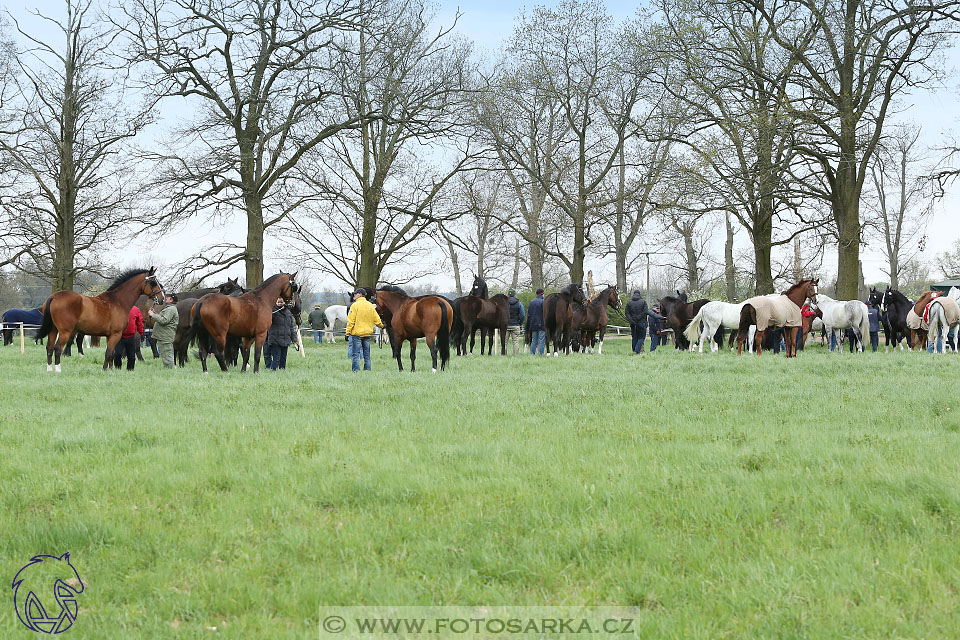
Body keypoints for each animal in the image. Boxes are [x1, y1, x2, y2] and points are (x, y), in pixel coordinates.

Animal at [35, 268, 163, 372]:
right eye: (153, 282)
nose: (161, 298)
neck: (118, 301)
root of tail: (53, 297)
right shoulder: (116, 334)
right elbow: (108, 353)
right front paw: (104, 369)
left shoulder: (109, 336)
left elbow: (111, 354)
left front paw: (111, 370)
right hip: (65, 332)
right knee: (57, 348)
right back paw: (58, 370)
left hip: (53, 330)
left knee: (49, 348)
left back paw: (49, 369)